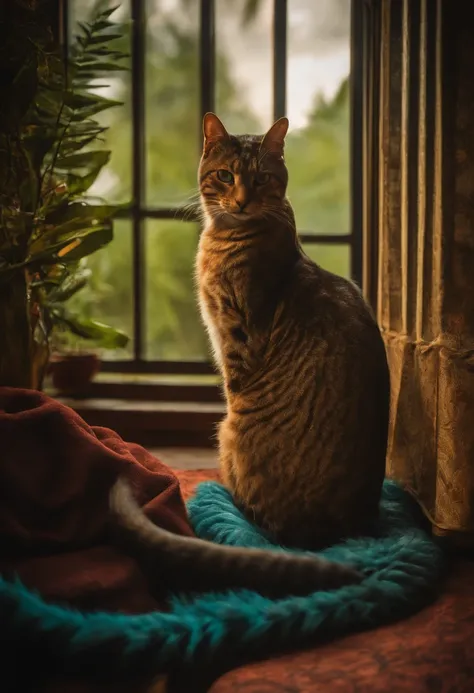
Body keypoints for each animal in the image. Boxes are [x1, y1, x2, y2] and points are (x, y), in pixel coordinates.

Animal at [195, 113, 388, 552]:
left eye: (262, 178)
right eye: (226, 175)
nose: (242, 200)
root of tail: (344, 530)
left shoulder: (237, 339)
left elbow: (233, 386)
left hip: (230, 431)